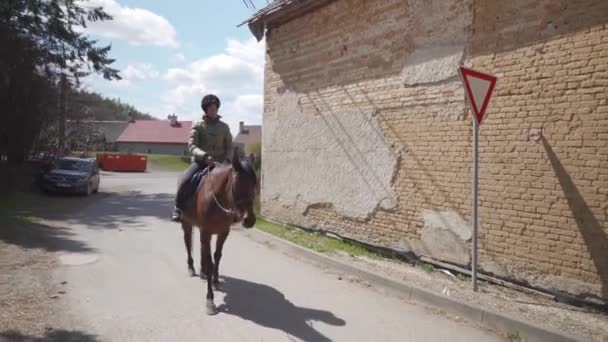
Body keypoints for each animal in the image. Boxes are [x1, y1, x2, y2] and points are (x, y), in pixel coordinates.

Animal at [179, 150, 258, 316]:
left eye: (254, 183)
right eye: (238, 184)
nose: (249, 220)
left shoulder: (223, 233)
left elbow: (217, 257)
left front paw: (215, 281)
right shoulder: (206, 232)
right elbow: (210, 262)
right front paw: (210, 300)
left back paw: (202, 273)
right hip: (187, 224)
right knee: (188, 243)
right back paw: (191, 268)